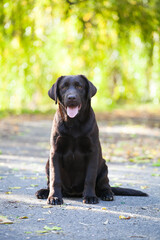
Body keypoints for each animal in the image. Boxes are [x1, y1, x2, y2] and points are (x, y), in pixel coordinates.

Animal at [35, 74, 148, 204]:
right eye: (63, 87)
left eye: (79, 86)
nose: (71, 97)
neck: (74, 123)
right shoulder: (55, 153)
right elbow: (55, 178)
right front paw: (54, 197)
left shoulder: (92, 152)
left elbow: (90, 178)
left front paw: (90, 196)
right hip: (47, 164)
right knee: (50, 182)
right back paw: (43, 192)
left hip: (104, 168)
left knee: (105, 185)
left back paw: (107, 194)